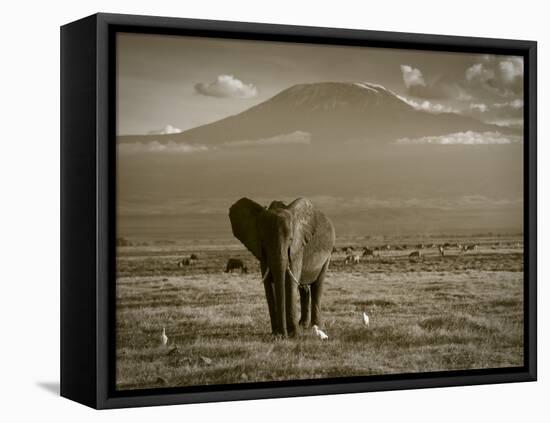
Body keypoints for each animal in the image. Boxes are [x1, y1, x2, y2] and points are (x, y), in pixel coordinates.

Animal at [229, 197, 336, 340]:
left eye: (290, 239)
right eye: (263, 241)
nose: (283, 335)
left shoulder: (297, 247)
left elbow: (289, 282)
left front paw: (293, 335)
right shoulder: (262, 253)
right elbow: (268, 284)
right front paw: (276, 334)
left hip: (328, 254)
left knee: (317, 286)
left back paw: (316, 327)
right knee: (304, 289)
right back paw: (303, 326)